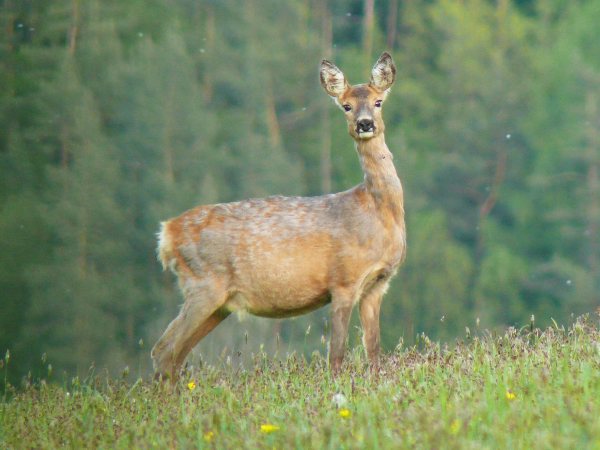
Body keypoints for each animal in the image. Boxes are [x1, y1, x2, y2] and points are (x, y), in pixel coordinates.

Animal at [154, 51, 408, 378]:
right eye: (346, 106)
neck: (378, 213)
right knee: (164, 350)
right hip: (203, 283)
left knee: (175, 354)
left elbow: (374, 351)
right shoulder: (343, 280)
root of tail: (167, 233)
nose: (365, 124)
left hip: (218, 302)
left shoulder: (377, 285)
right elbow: (336, 354)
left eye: (378, 102)